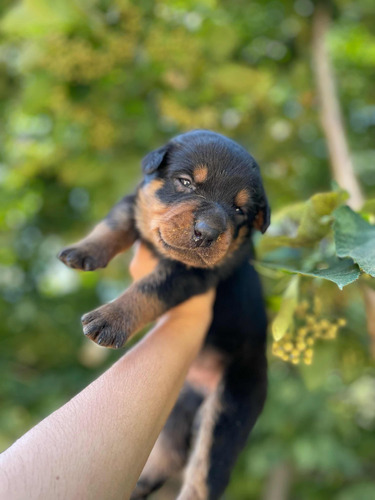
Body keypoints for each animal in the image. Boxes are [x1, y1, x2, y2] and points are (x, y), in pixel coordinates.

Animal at [58, 130, 270, 500]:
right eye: (185, 182)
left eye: (239, 209)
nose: (208, 231)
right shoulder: (135, 202)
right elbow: (114, 223)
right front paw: (83, 250)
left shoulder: (188, 275)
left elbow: (149, 289)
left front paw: (110, 319)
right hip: (176, 410)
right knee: (167, 456)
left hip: (232, 406)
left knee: (205, 473)